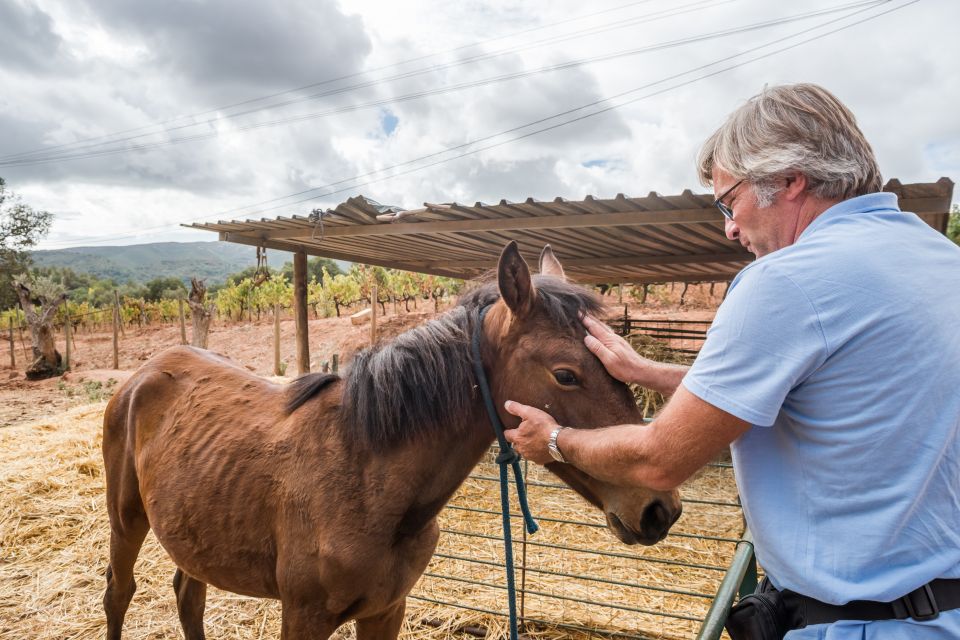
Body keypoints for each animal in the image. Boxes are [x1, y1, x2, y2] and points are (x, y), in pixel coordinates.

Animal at [103, 242, 684, 636]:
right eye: (565, 374)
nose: (661, 509)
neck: (366, 476)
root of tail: (145, 372)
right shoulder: (304, 617)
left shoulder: (386, 611)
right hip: (126, 519)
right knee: (119, 593)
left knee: (188, 596)